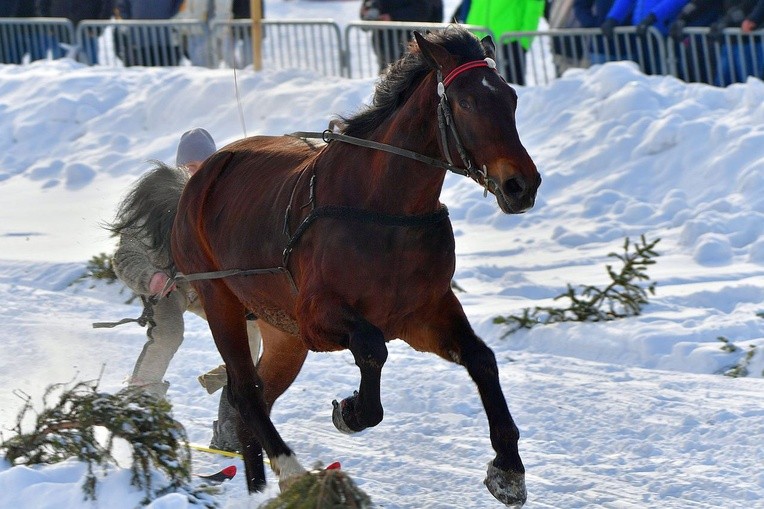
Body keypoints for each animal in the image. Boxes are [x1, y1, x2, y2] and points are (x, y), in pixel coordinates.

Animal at [172, 26, 540, 504]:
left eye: (510, 98)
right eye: (467, 103)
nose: (522, 185)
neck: (384, 208)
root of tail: (203, 173)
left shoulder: (423, 312)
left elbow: (482, 359)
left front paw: (508, 467)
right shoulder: (317, 316)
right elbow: (371, 345)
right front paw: (352, 410)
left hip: (282, 331)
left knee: (258, 391)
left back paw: (256, 483)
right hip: (220, 297)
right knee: (245, 391)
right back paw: (291, 471)